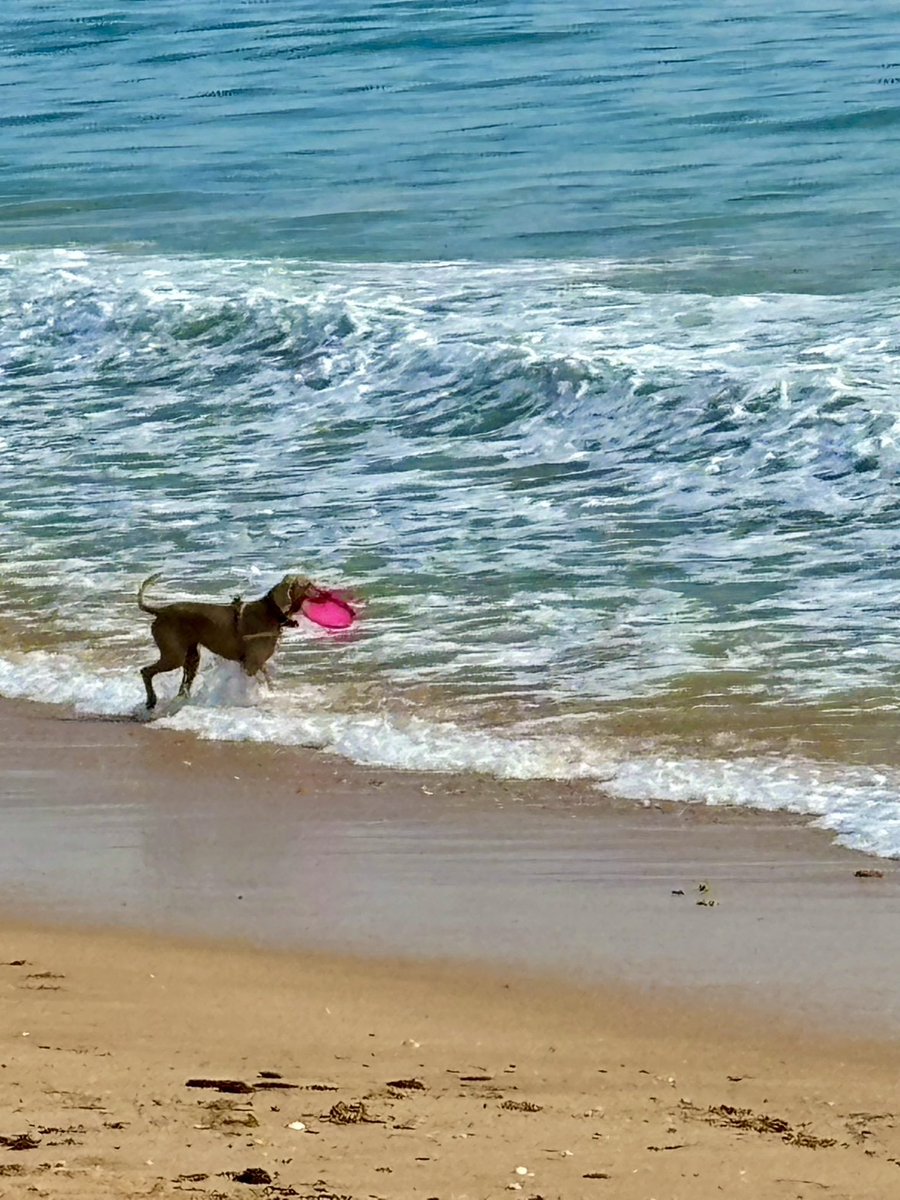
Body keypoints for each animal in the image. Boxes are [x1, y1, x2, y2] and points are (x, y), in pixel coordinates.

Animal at [135, 573, 314, 710]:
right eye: (308, 584)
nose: (320, 589)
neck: (272, 612)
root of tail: (160, 610)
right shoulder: (251, 665)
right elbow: (260, 682)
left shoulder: (257, 663)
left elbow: (268, 681)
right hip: (174, 656)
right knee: (145, 671)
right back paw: (151, 700)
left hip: (192, 657)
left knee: (183, 684)